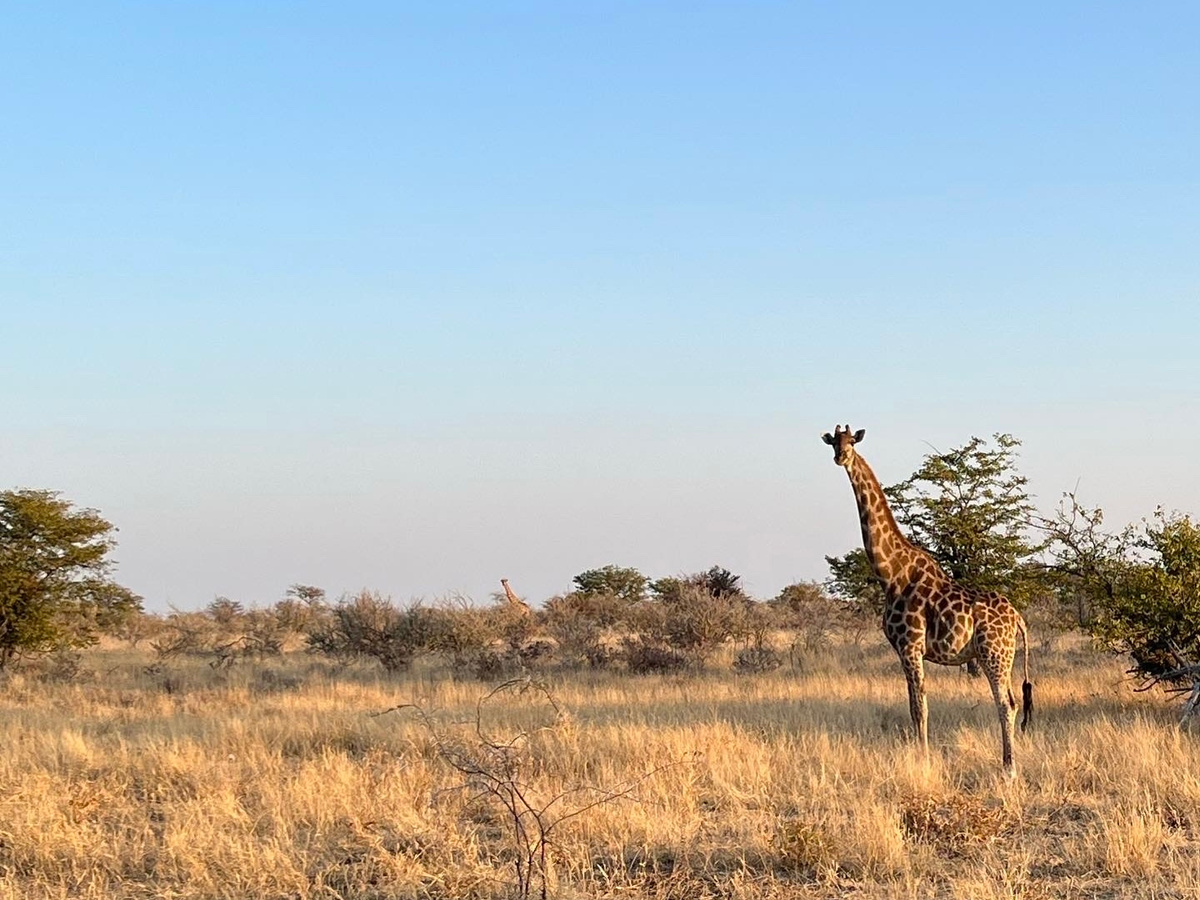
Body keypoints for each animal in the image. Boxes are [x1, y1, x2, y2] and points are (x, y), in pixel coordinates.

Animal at [820, 424, 1036, 777]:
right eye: (833, 443)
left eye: (851, 441)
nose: (841, 457)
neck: (891, 573)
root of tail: (1018, 617)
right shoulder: (902, 649)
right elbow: (913, 703)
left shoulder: (910, 645)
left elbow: (920, 705)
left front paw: (923, 759)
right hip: (998, 656)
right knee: (1013, 701)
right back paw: (1007, 763)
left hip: (995, 654)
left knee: (1006, 703)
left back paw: (1010, 769)